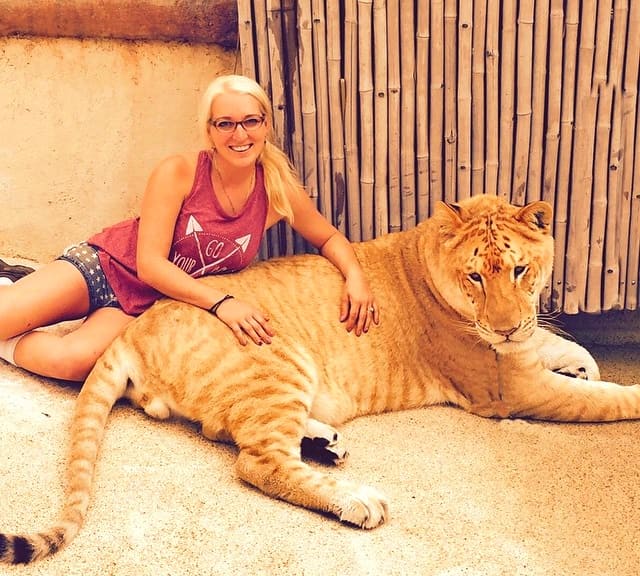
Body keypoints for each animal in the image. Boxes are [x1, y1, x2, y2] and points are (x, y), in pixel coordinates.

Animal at [2, 195, 636, 564]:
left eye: (522, 270)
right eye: (476, 276)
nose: (503, 327)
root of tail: (132, 329)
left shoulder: (519, 352)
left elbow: (554, 344)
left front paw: (581, 356)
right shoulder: (507, 389)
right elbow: (601, 400)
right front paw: (611, 384)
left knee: (228, 432)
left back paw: (325, 442)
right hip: (280, 361)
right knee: (257, 461)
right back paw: (356, 499)